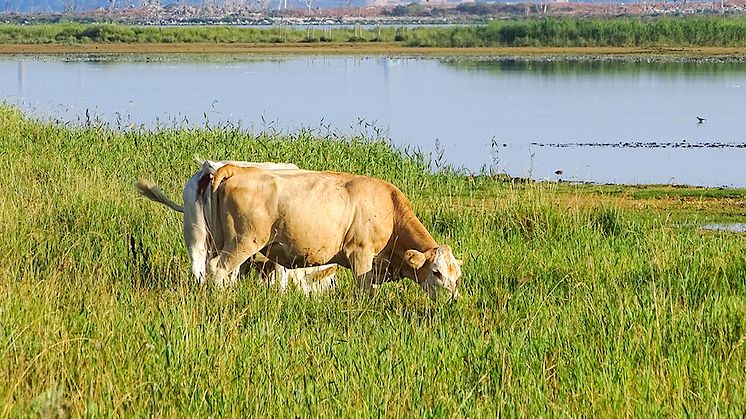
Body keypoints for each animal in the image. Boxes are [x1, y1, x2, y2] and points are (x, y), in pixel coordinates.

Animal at [203, 166, 460, 300]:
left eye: (457, 275)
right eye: (436, 272)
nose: (452, 299)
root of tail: (238, 170)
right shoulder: (361, 255)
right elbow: (365, 291)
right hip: (243, 241)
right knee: (218, 268)